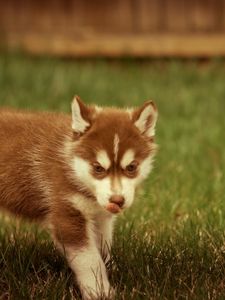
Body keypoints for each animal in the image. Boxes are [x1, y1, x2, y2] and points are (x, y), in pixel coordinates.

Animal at [0, 97, 158, 298]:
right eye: (98, 168)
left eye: (131, 167)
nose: (117, 200)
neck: (73, 166)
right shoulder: (68, 214)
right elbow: (89, 259)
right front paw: (100, 291)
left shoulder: (100, 217)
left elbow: (103, 248)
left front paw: (111, 270)